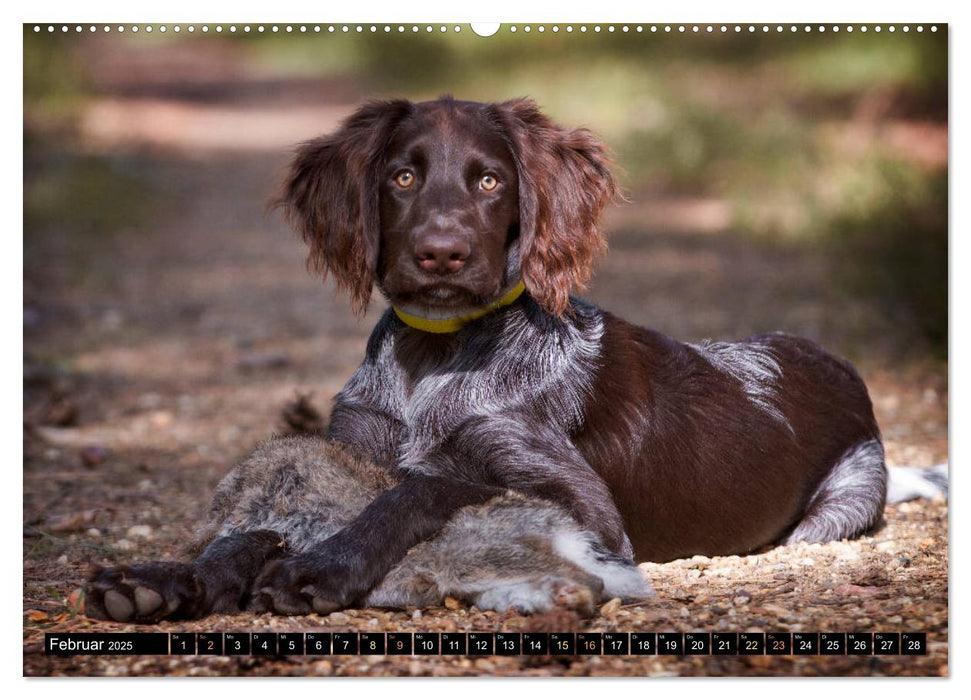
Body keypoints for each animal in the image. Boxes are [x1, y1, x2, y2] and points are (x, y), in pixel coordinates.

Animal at [85, 94, 948, 624]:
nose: (440, 253)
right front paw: (163, 579)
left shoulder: (588, 509)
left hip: (838, 502)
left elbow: (430, 484)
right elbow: (258, 524)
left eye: (490, 180)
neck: (434, 353)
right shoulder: (345, 454)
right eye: (402, 176)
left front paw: (324, 564)